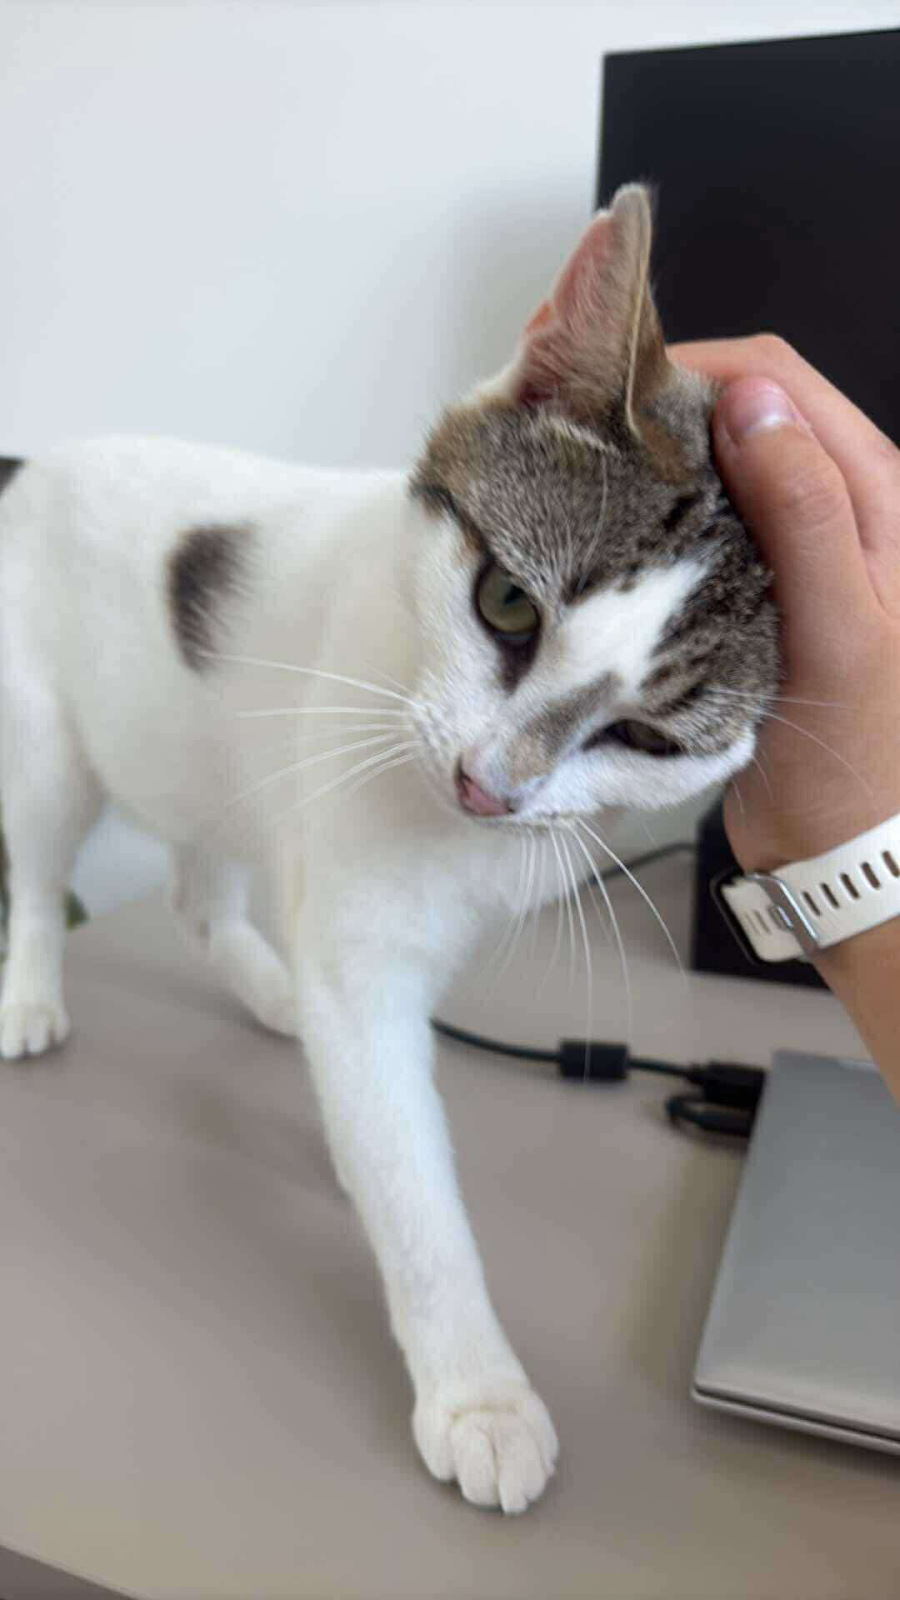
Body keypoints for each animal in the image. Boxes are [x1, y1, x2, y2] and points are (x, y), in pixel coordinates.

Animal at [0, 184, 777, 1512]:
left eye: (644, 736)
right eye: (507, 602)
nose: (488, 785)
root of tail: (31, 464)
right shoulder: (362, 951)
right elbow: (411, 1184)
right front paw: (475, 1389)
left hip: (219, 758)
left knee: (201, 888)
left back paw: (270, 990)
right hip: (51, 738)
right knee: (44, 869)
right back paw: (34, 990)